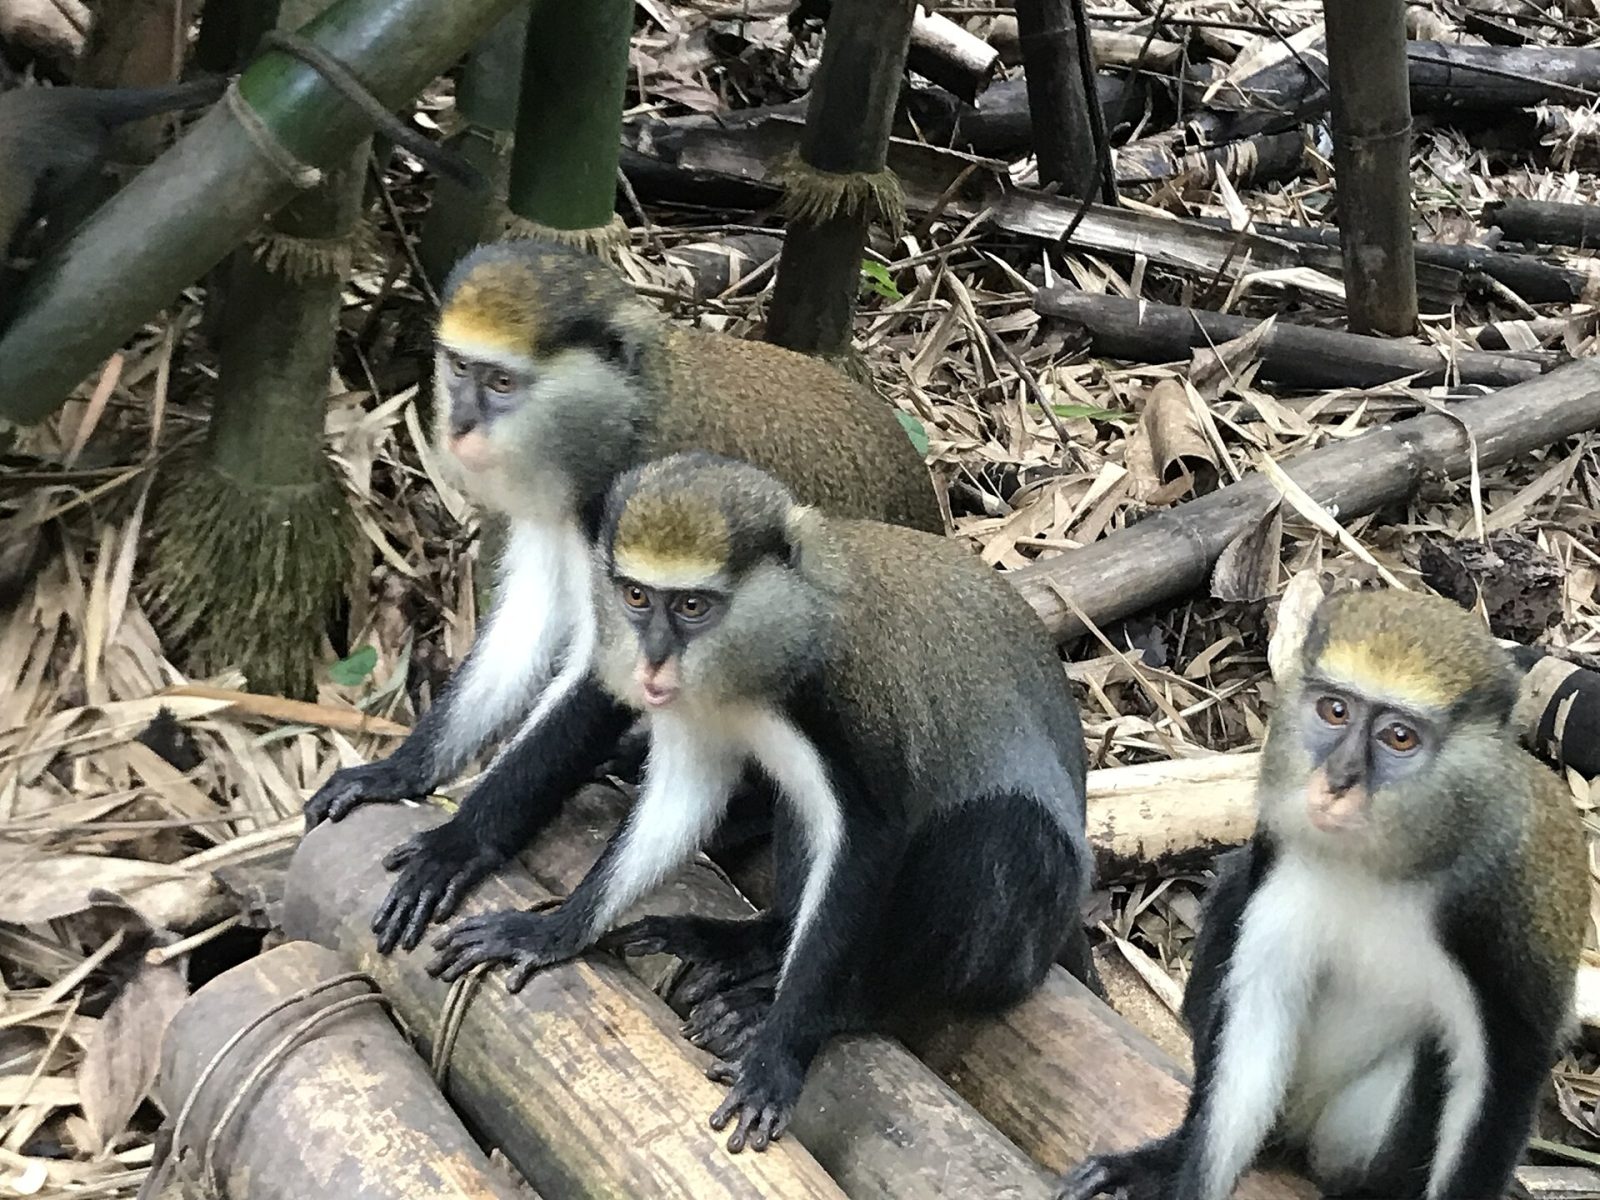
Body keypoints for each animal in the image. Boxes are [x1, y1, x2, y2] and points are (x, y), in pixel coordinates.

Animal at [304, 240, 943, 955]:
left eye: (502, 384)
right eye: (461, 368)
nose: (461, 424)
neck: (624, 418)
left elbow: (603, 681)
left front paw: (460, 842)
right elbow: (527, 627)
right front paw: (399, 772)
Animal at [421, 452, 1095, 1153]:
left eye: (692, 606)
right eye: (636, 597)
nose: (653, 663)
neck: (758, 657)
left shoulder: (839, 705)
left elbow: (868, 839)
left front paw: (780, 1052)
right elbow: (682, 798)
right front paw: (552, 931)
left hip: (1020, 939)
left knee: (1002, 831)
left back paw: (833, 1003)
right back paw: (752, 942)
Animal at [1058, 588, 1587, 1200]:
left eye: (1399, 737)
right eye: (1335, 711)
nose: (1337, 781)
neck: (1379, 866)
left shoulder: (1498, 925)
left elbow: (1499, 1077)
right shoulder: (1284, 863)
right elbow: (1258, 1017)